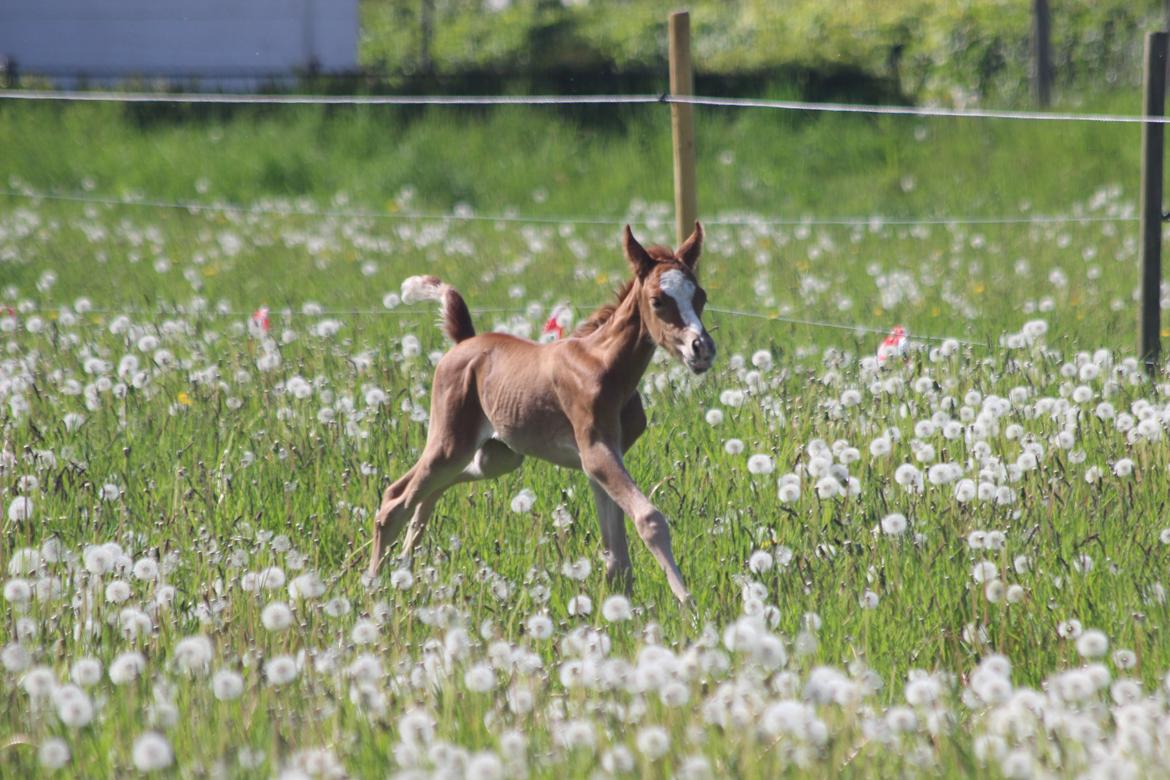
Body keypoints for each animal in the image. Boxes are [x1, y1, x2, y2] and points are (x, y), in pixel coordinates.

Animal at [369, 221, 711, 603]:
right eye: (658, 300)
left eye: (700, 296)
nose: (701, 349)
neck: (605, 365)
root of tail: (464, 342)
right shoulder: (596, 452)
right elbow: (649, 519)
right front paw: (688, 604)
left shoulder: (605, 458)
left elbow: (616, 558)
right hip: (449, 442)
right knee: (394, 500)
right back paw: (372, 586)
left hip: (497, 456)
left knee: (429, 491)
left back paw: (405, 566)